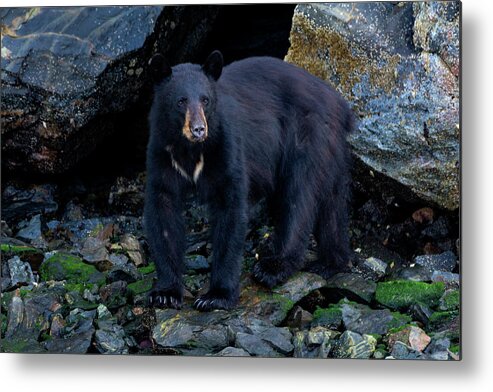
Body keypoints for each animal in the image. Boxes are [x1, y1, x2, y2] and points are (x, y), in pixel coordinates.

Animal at [144, 50, 352, 310]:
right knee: (332, 203)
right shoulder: (162, 151)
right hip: (332, 150)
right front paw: (165, 292)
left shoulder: (227, 146)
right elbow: (163, 211)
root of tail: (340, 103)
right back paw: (331, 262)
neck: (191, 150)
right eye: (180, 101)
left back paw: (274, 266)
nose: (199, 129)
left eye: (205, 100)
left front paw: (216, 296)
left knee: (299, 196)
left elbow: (231, 210)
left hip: (308, 135)